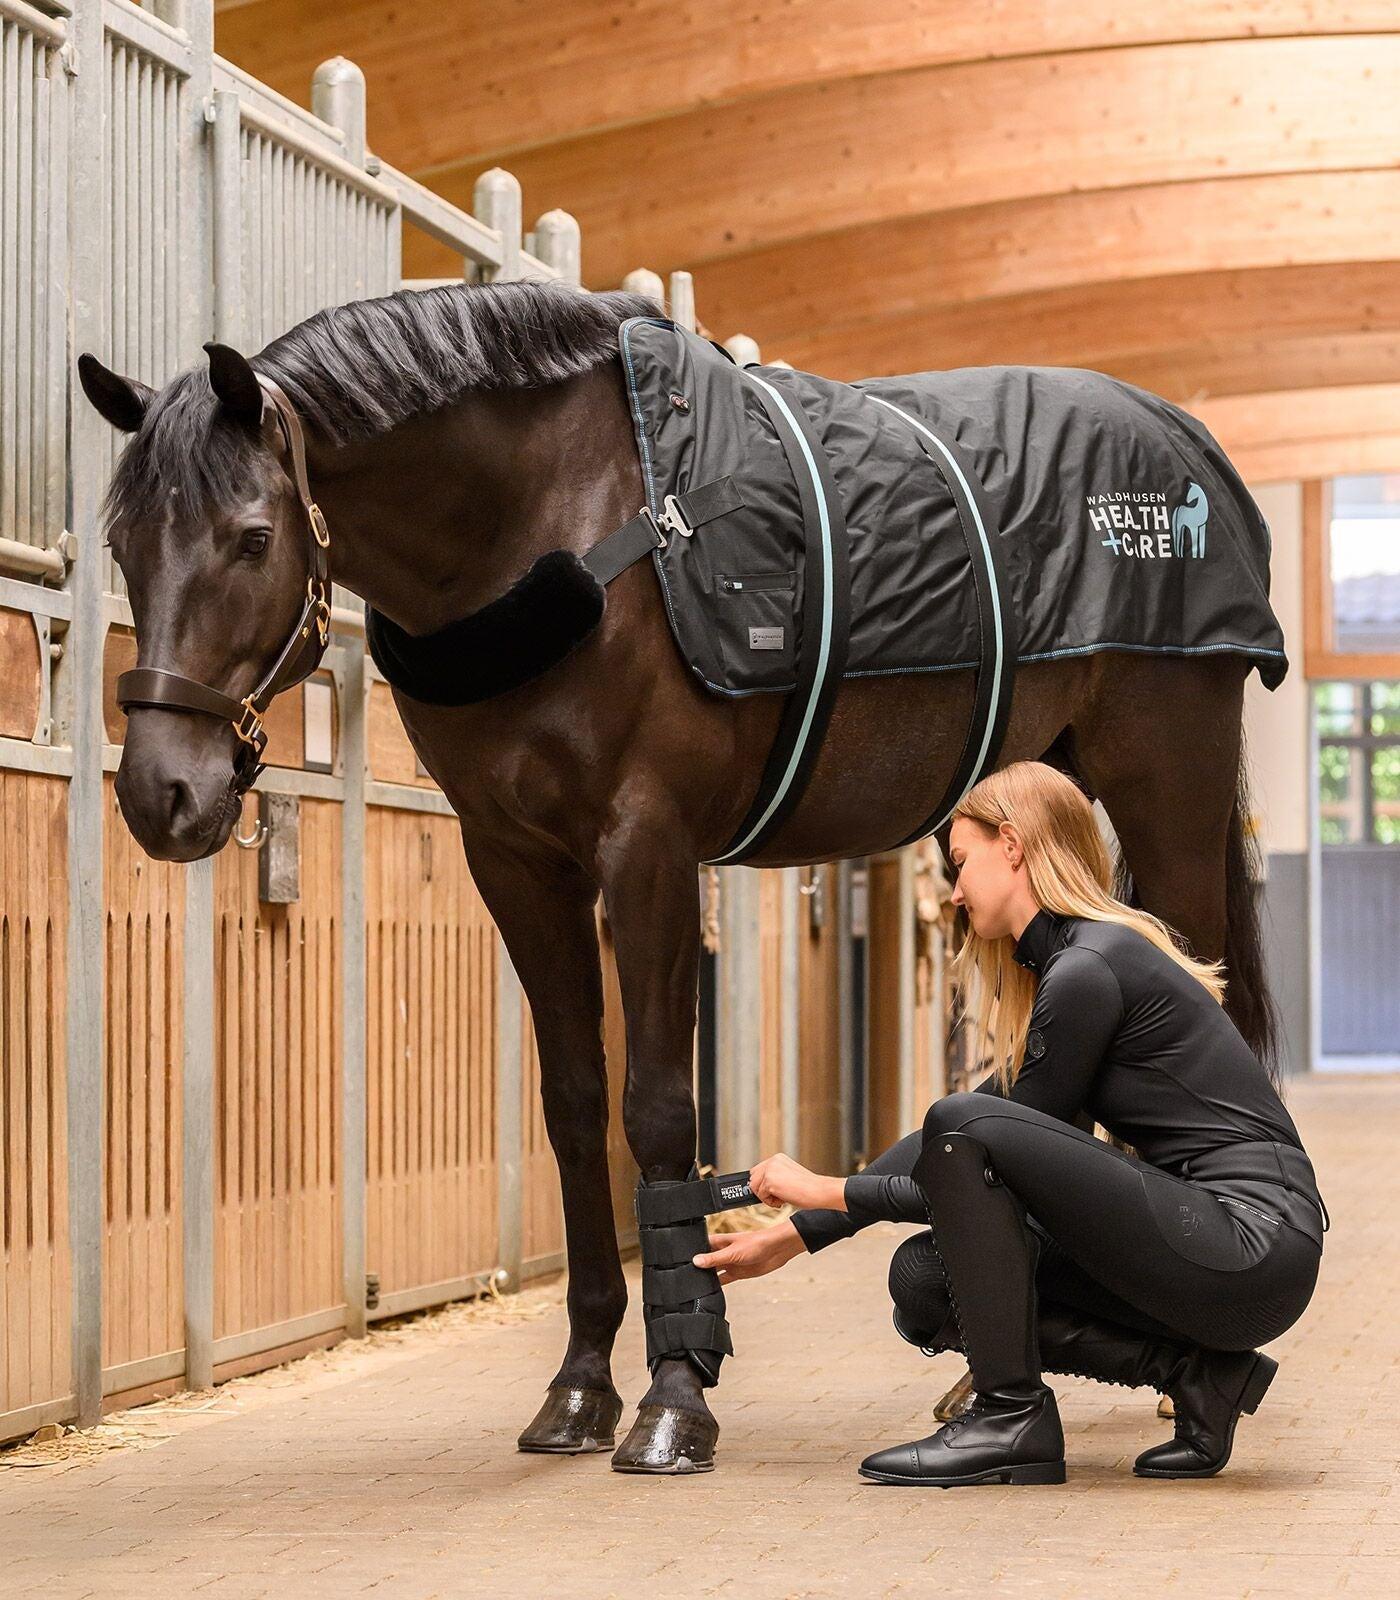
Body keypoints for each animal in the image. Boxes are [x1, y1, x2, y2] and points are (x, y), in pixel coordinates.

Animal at [78, 279, 1279, 1475]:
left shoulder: (646, 848)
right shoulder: (516, 861)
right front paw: (577, 1388)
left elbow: (656, 1110)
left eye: (251, 538)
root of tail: (1181, 443)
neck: (559, 524)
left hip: (1162, 791)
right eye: (124, 542)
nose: (160, 792)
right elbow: (574, 1107)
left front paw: (673, 1396)